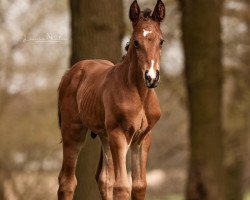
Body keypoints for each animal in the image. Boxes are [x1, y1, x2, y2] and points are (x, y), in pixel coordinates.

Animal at [57, 0, 165, 199]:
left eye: (161, 41)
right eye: (136, 42)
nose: (151, 77)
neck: (139, 95)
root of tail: (70, 72)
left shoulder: (142, 138)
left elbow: (139, 186)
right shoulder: (119, 133)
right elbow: (121, 186)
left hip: (105, 136)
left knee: (104, 179)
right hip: (73, 131)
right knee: (67, 181)